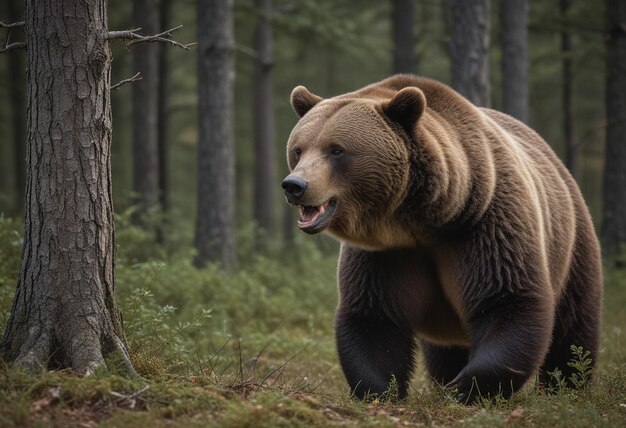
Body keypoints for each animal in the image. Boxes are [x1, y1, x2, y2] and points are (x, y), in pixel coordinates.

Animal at [282, 75, 600, 402]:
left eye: (336, 150)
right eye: (299, 149)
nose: (295, 185)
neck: (422, 221)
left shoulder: (484, 227)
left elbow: (508, 299)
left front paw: (466, 388)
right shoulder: (384, 254)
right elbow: (374, 318)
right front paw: (381, 390)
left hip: (571, 243)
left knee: (573, 326)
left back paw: (567, 386)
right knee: (445, 352)